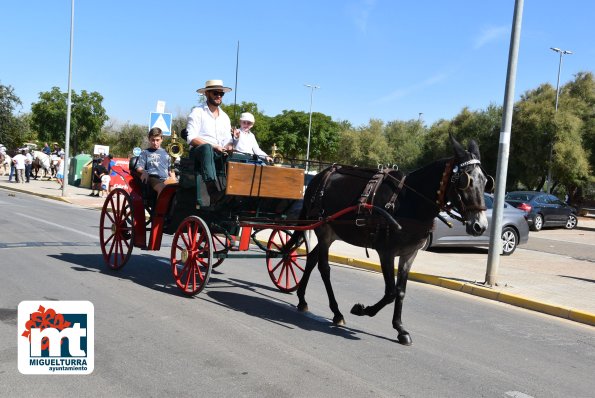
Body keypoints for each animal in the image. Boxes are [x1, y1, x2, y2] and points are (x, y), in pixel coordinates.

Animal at [288, 135, 488, 344]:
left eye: (485, 181)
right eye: (465, 180)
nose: (480, 226)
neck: (410, 201)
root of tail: (320, 176)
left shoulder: (409, 254)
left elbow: (400, 290)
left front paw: (400, 328)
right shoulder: (386, 252)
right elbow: (391, 291)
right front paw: (363, 310)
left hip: (333, 231)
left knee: (311, 259)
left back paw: (302, 299)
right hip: (323, 229)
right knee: (324, 268)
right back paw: (336, 311)